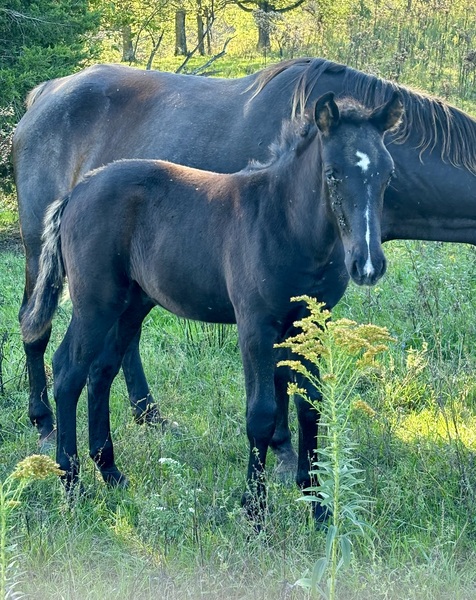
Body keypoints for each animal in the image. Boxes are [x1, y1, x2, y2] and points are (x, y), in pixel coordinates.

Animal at [13, 57, 476, 460]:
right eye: (332, 176)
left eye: (389, 176)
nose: (368, 264)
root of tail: (44, 92)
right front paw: (282, 451)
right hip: (42, 249)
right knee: (36, 327)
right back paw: (45, 423)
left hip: (131, 290)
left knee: (115, 352)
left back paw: (147, 415)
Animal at [21, 94, 402, 516]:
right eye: (333, 174)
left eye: (388, 175)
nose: (367, 264)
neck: (285, 223)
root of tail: (76, 191)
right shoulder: (255, 324)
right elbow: (262, 414)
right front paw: (255, 510)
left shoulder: (310, 322)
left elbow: (310, 404)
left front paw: (316, 504)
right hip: (95, 303)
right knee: (68, 371)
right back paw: (71, 485)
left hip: (131, 304)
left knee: (101, 372)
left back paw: (111, 472)